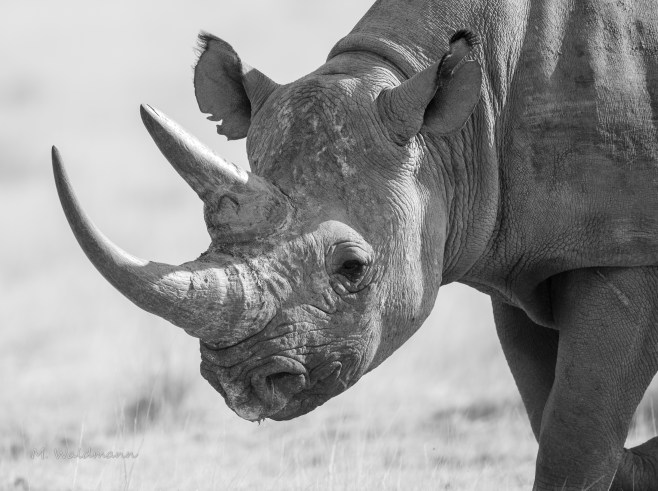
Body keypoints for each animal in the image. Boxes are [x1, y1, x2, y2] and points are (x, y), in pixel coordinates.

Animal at [52, 0, 658, 489]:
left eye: (352, 269)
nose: (239, 382)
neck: (454, 133)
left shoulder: (626, 254)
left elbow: (573, 437)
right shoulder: (525, 262)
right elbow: (550, 413)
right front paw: (639, 462)